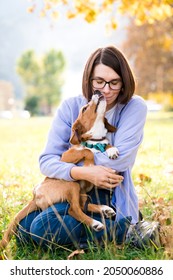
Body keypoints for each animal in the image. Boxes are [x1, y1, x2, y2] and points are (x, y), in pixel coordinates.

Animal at [0, 90, 119, 249]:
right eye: (84, 108)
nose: (97, 91)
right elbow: (86, 151)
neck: (94, 140)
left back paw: (104, 209)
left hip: (80, 192)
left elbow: (106, 144)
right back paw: (95, 223)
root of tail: (35, 197)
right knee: (73, 209)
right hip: (71, 183)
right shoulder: (66, 156)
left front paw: (112, 150)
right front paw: (89, 165)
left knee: (81, 205)